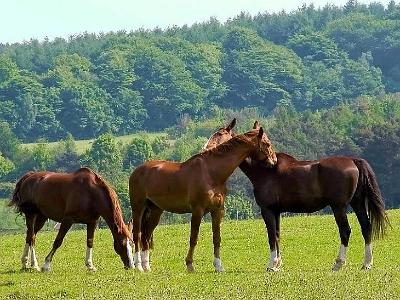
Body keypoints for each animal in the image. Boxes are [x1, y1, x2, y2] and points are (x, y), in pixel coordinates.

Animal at [130, 125, 276, 274]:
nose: (274, 161)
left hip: (155, 211)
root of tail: (138, 170)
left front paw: (218, 266)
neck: (211, 172)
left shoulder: (217, 211)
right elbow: (193, 238)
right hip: (138, 208)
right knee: (136, 234)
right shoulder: (197, 210)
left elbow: (217, 238)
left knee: (146, 236)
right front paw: (190, 265)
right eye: (267, 143)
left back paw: (146, 266)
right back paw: (139, 266)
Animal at [205, 119, 390, 272]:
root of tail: (354, 160)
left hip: (339, 207)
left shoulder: (267, 210)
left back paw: (339, 263)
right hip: (357, 203)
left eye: (220, 134)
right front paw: (277, 264)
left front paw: (271, 265)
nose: (206, 148)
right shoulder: (276, 211)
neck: (266, 170)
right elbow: (277, 235)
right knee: (366, 227)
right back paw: (367, 263)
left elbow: (271, 236)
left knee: (345, 231)